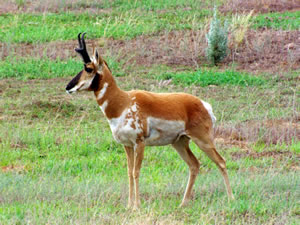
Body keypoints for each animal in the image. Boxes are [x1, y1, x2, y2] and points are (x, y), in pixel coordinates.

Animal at [65, 32, 234, 208]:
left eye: (88, 68)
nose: (68, 87)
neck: (123, 102)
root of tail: (203, 104)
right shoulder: (127, 145)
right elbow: (129, 171)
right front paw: (129, 205)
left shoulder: (139, 143)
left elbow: (136, 171)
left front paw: (137, 206)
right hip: (179, 142)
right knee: (194, 165)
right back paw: (183, 203)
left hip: (203, 140)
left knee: (221, 161)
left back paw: (231, 199)